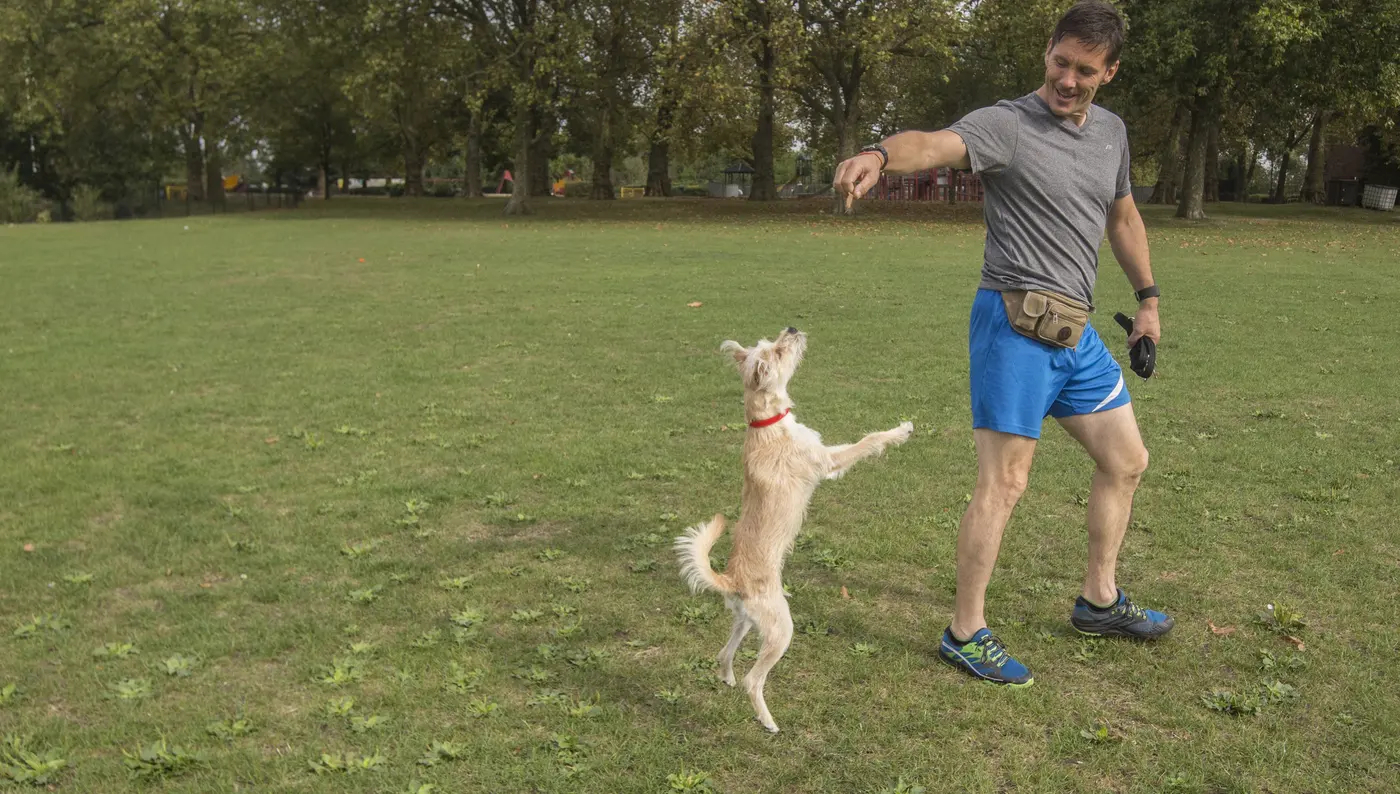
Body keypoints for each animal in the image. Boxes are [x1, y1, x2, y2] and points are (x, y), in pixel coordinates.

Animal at [672, 327, 912, 733]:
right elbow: (867, 441)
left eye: (770, 342)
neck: (766, 423)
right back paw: (767, 721)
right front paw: (901, 431)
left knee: (724, 653)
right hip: (780, 630)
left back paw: (726, 677)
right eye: (779, 351)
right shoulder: (829, 460)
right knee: (754, 680)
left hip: (745, 622)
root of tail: (730, 579)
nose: (792, 329)